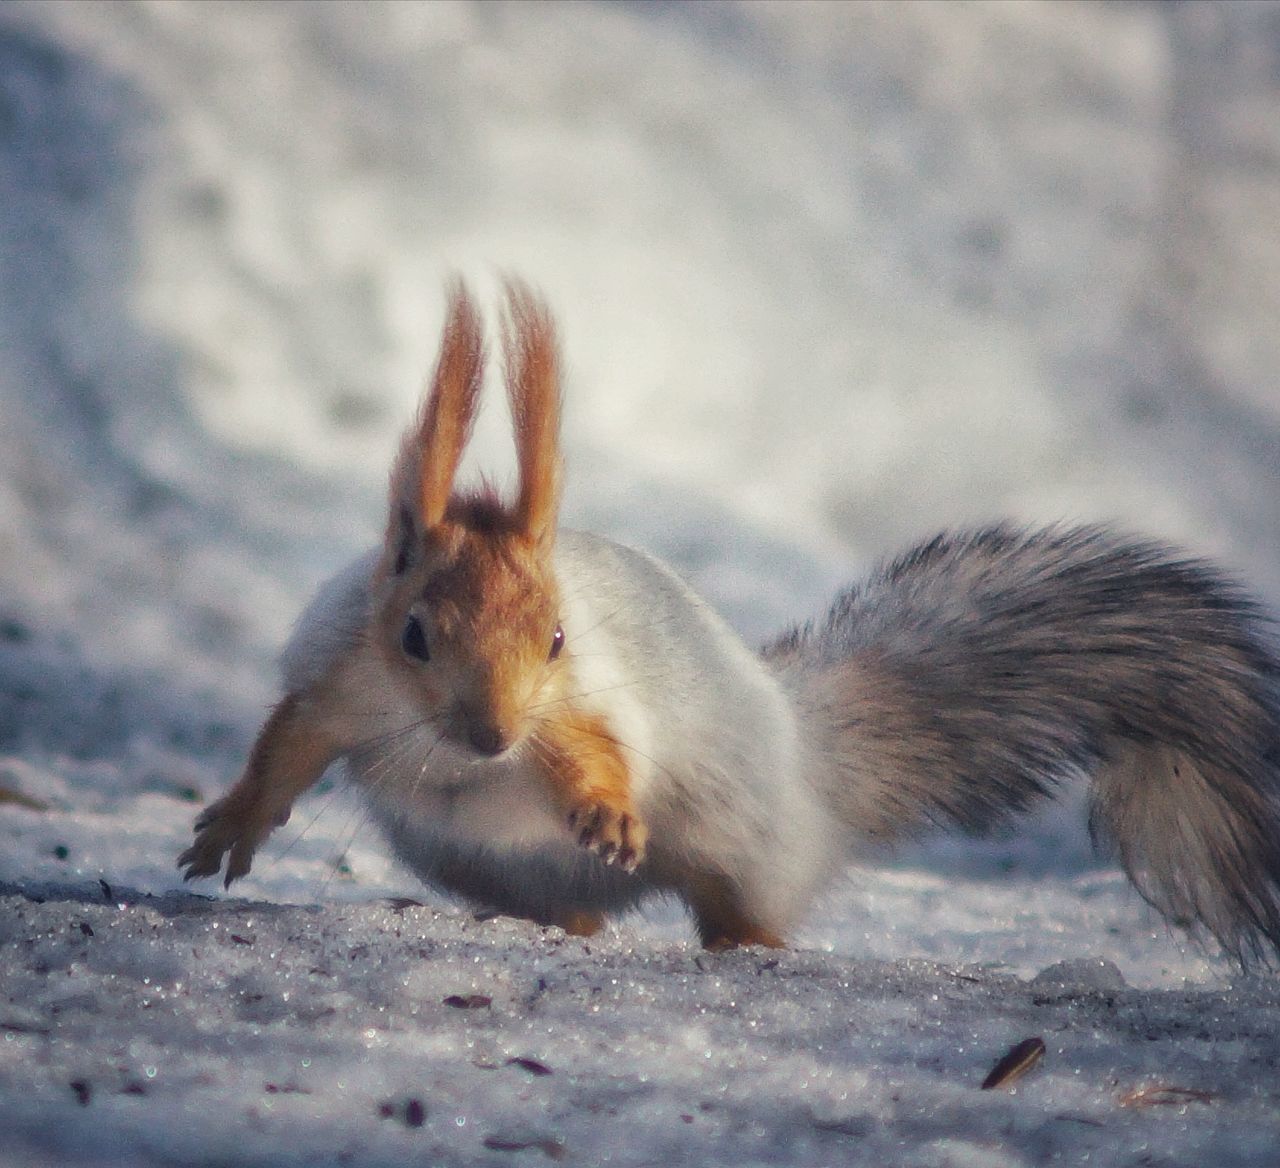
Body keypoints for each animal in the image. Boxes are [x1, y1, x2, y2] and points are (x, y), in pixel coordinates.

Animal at [180, 280, 1280, 968]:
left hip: (741, 841)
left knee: (734, 905)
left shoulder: (581, 708)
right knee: (575, 911)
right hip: (487, 864)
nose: (492, 737)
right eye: (413, 635)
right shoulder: (340, 674)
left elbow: (598, 753)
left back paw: (744, 943)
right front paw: (227, 829)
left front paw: (604, 810)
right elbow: (290, 741)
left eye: (556, 639)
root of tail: (806, 758)